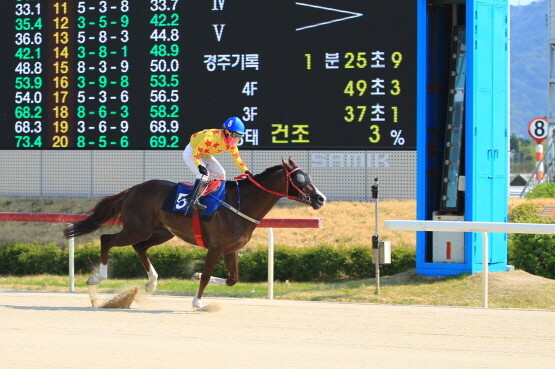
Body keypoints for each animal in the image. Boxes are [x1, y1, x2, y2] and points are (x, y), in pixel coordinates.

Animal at [63, 157, 326, 306]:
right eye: (300, 179)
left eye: (308, 176)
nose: (320, 198)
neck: (241, 205)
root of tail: (131, 189)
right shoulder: (216, 247)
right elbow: (209, 275)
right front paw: (198, 301)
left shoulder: (230, 249)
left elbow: (233, 279)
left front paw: (195, 275)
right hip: (137, 228)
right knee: (107, 239)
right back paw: (97, 278)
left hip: (163, 231)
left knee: (139, 247)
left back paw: (151, 283)